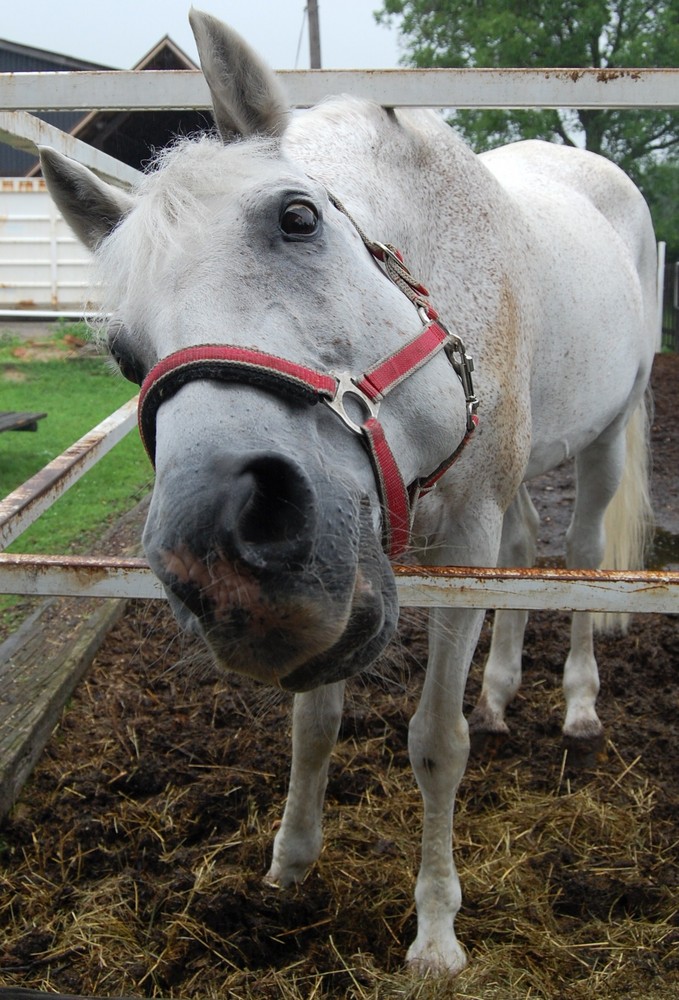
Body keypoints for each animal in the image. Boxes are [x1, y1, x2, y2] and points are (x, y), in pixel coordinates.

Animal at [38, 9, 660, 976]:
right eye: (124, 353)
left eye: (297, 218)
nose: (225, 551)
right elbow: (314, 723)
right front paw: (288, 869)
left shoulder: (463, 539)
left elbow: (434, 744)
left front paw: (436, 931)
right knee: (528, 551)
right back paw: (499, 693)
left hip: (605, 436)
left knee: (582, 559)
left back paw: (579, 705)